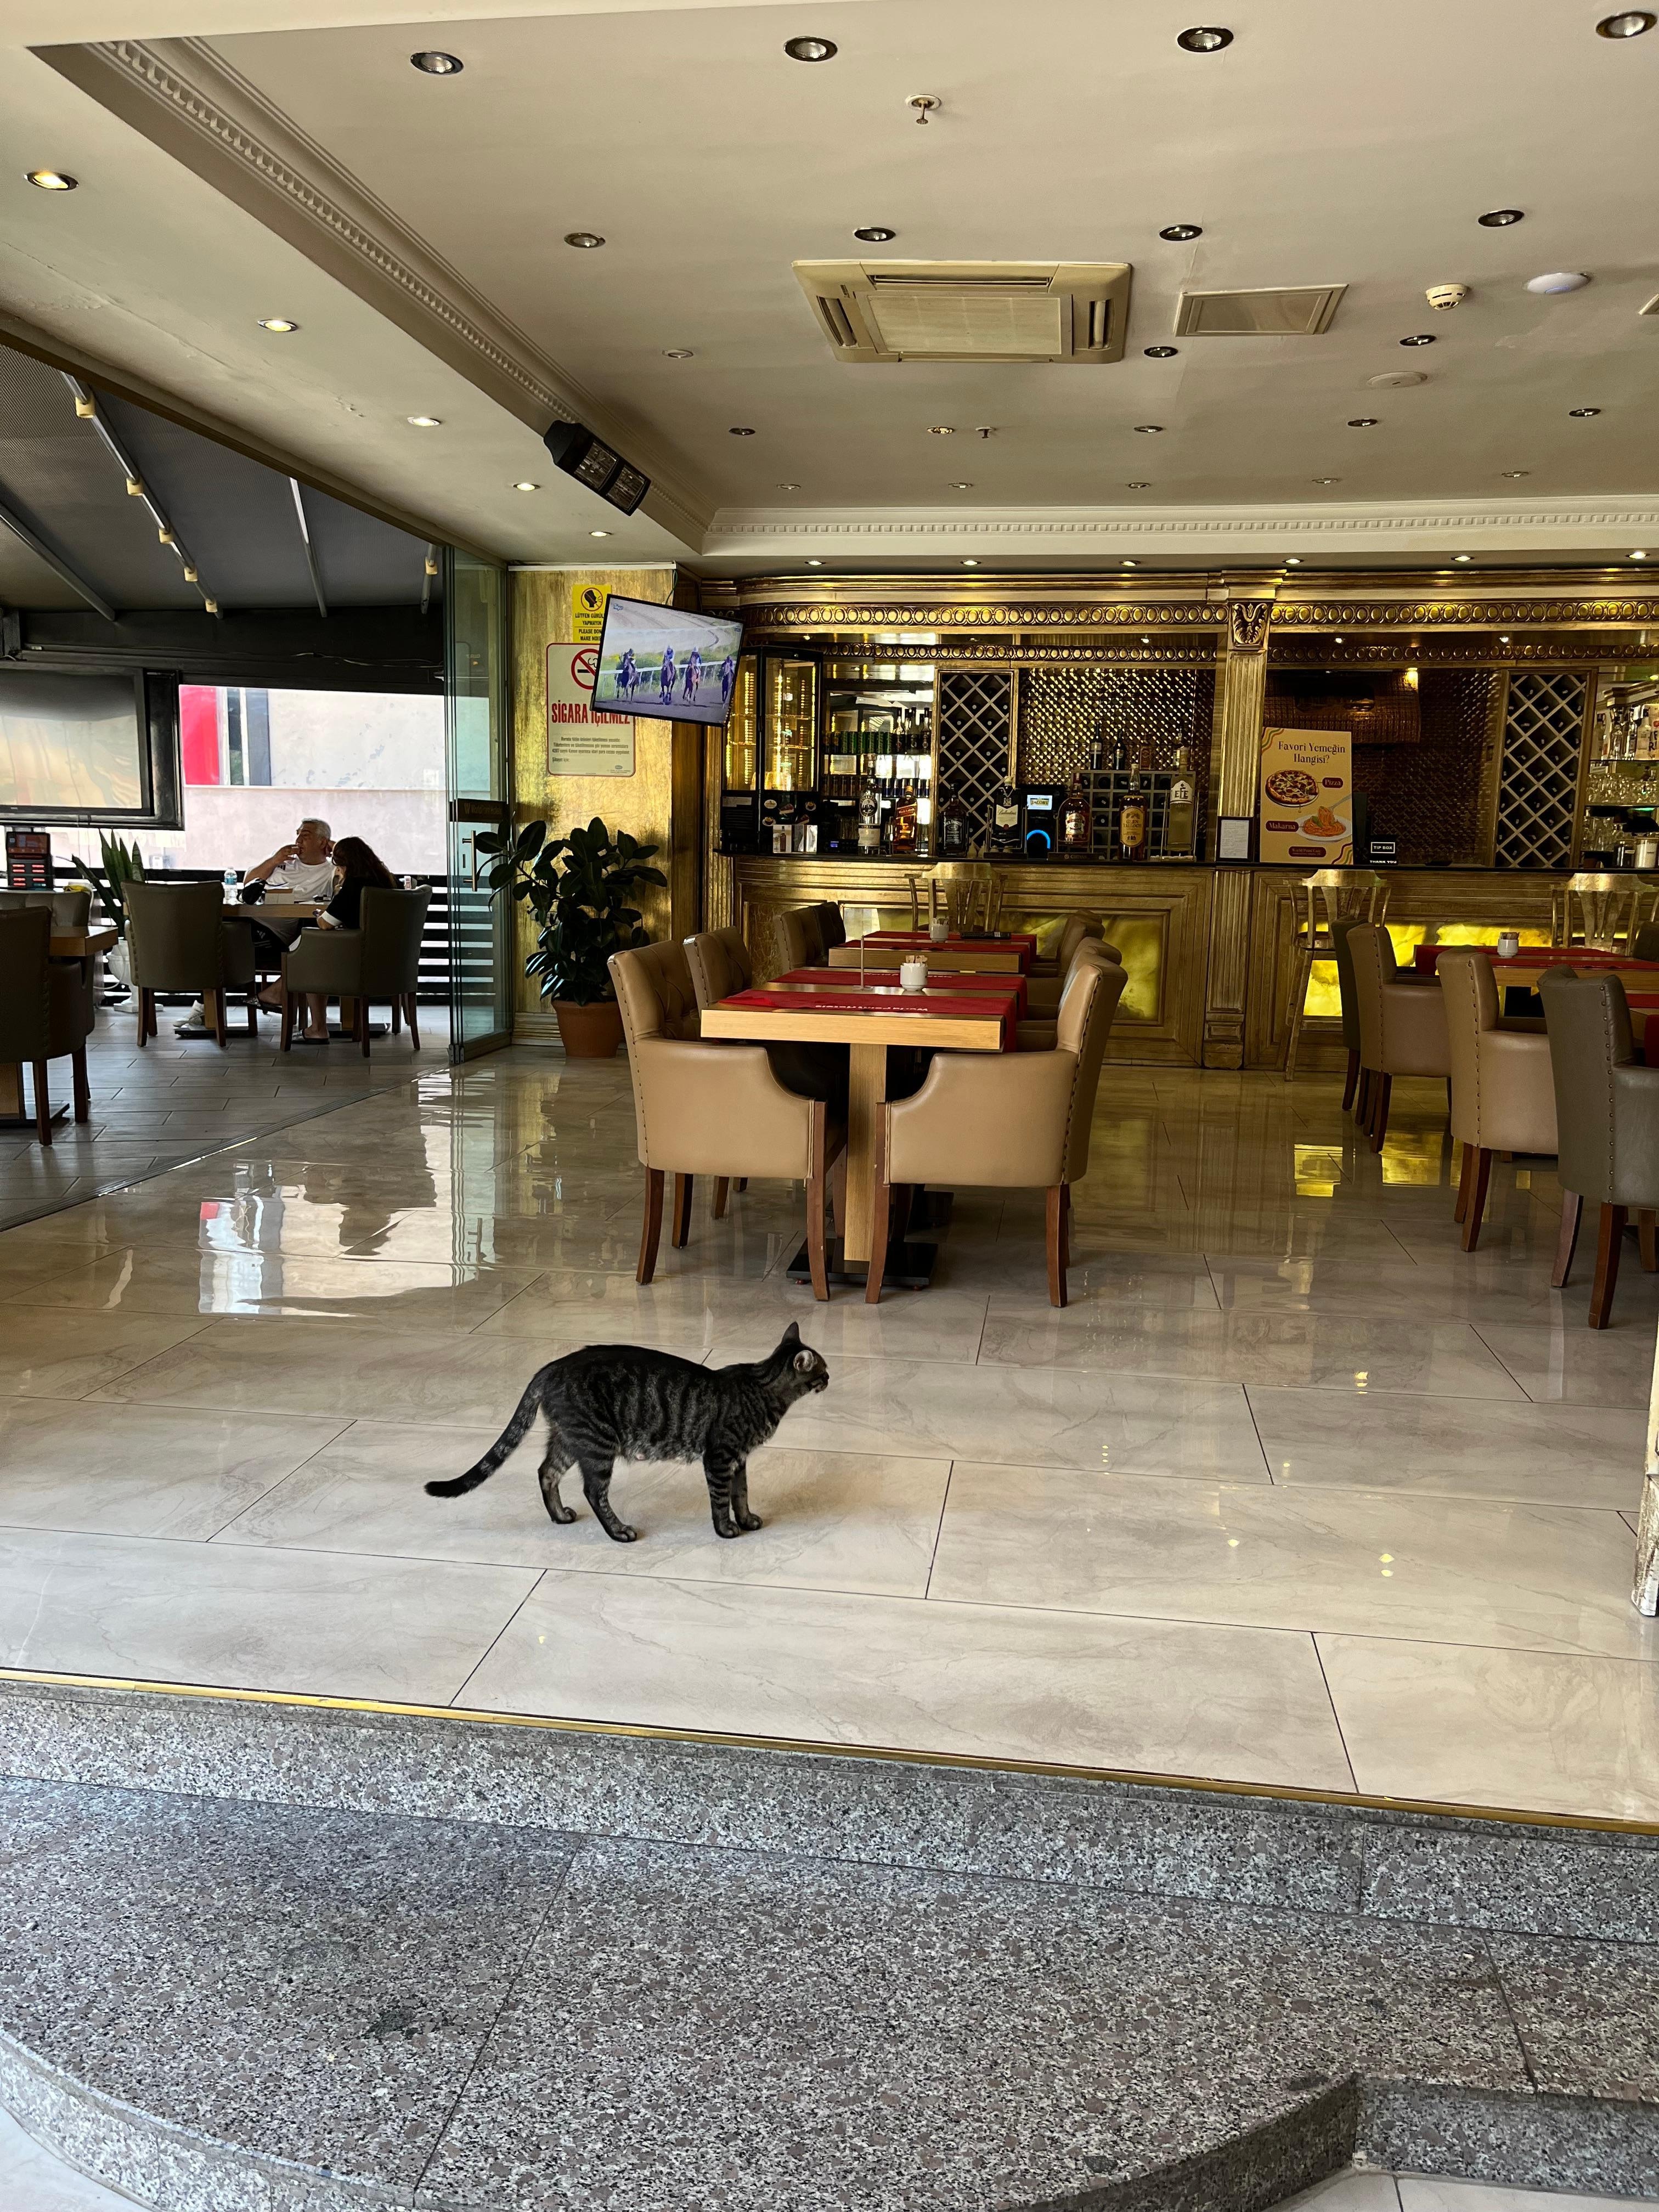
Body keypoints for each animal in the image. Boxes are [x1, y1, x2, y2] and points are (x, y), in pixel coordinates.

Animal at [424, 1321, 830, 1544]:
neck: (762, 1389)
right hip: (598, 1444)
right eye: (823, 1370)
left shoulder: (739, 1459)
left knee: (546, 1472)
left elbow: (741, 1494)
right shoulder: (720, 1457)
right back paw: (619, 1531)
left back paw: (560, 1516)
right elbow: (720, 1499)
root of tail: (551, 1367)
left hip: (571, 1440)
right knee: (593, 1491)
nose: (830, 1379)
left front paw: (746, 1520)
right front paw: (727, 1529)